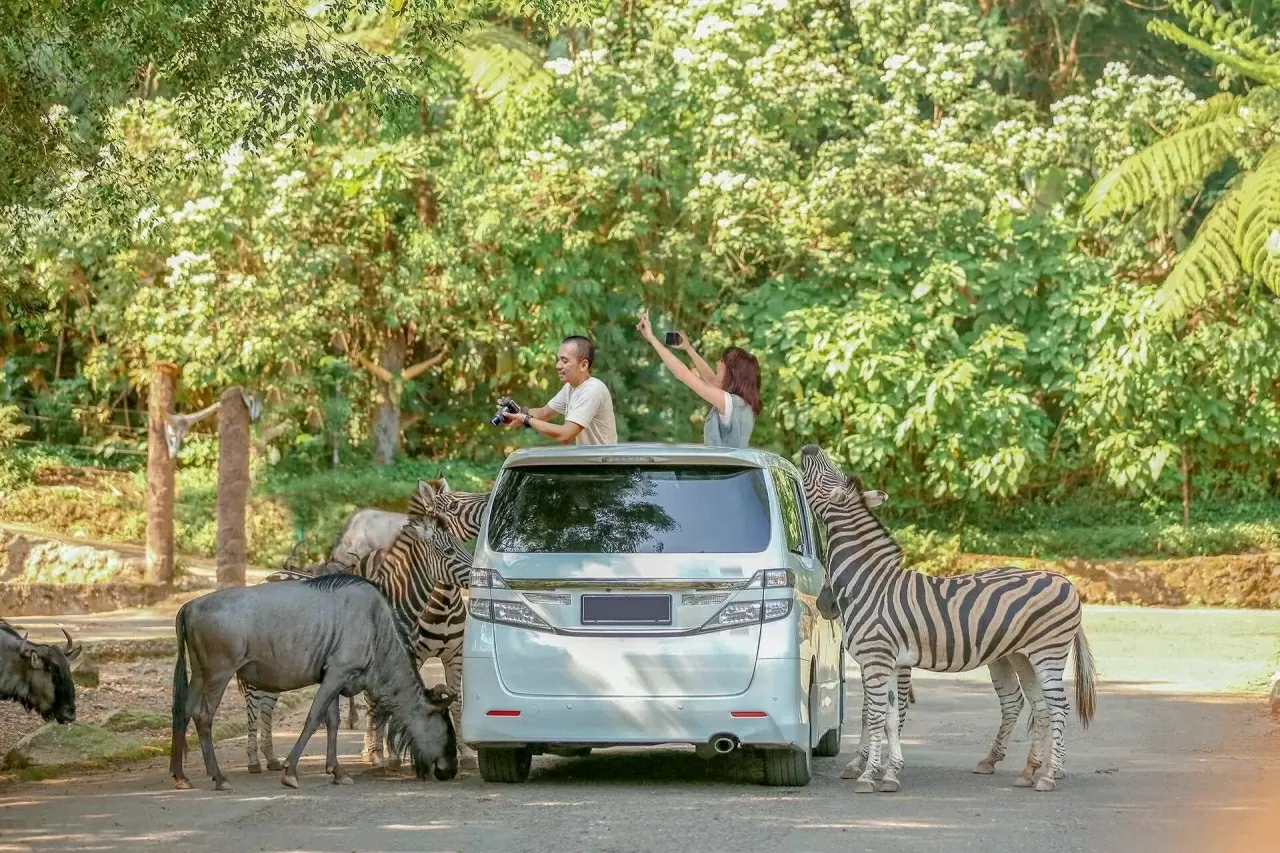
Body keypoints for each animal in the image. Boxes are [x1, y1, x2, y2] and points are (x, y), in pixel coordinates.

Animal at [793, 445, 1095, 788]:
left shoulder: (876, 658)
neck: (867, 582)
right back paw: (1029, 771)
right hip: (1022, 656)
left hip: (1048, 652)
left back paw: (1048, 775)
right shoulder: (890, 662)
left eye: (828, 476)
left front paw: (869, 775)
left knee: (1059, 708)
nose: (809, 447)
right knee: (1039, 707)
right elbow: (887, 716)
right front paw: (889, 772)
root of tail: (1068, 582)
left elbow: (875, 715)